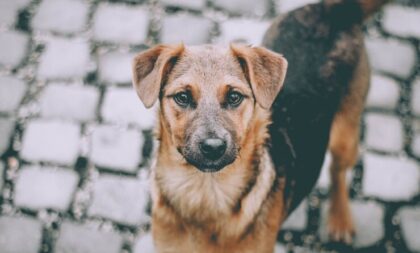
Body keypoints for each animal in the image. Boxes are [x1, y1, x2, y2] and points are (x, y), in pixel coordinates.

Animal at [133, 0, 388, 252]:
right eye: (182, 97)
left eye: (234, 96)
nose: (213, 147)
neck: (206, 194)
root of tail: (333, 9)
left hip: (345, 135)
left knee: (337, 171)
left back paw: (340, 218)